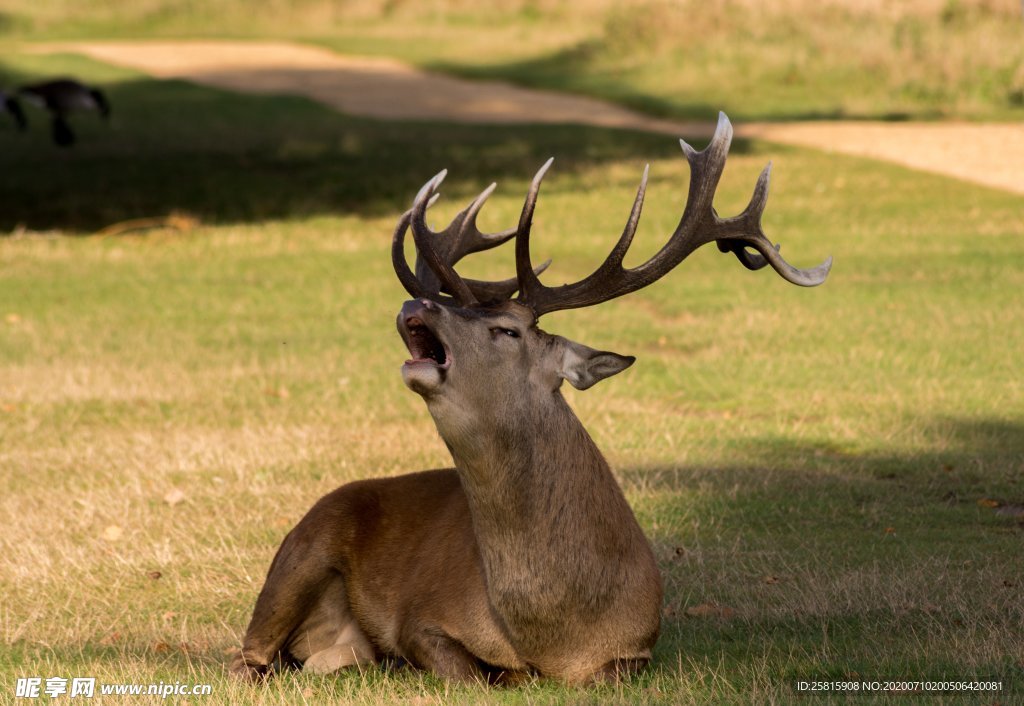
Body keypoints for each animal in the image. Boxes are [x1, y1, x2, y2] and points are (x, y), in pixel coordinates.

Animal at [230, 114, 831, 684]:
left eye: (506, 329)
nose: (416, 303)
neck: (552, 631)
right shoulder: (420, 619)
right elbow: (469, 672)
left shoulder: (638, 647)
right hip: (299, 555)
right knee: (249, 657)